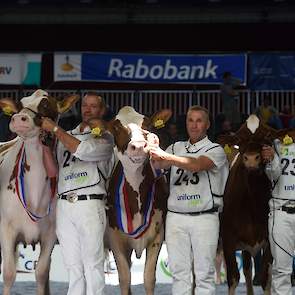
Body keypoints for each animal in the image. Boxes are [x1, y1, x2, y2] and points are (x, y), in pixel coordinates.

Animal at [0, 90, 78, 295]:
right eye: (20, 105)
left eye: (45, 105)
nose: (19, 118)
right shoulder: (6, 228)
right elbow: (9, 273)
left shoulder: (51, 233)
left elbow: (42, 271)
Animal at [88, 106, 171, 295]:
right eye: (116, 127)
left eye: (146, 125)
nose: (139, 146)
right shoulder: (115, 238)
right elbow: (125, 278)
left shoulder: (158, 234)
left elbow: (148, 278)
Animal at [217, 115, 295, 295]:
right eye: (239, 139)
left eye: (267, 137)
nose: (252, 159)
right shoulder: (228, 240)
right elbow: (233, 278)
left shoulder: (269, 239)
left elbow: (266, 278)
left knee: (249, 268)